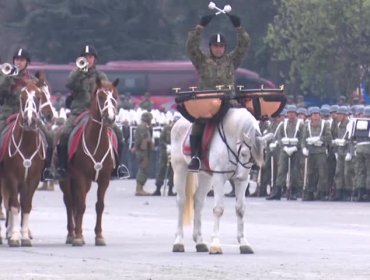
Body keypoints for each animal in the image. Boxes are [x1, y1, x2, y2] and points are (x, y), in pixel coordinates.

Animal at [60, 77, 119, 246]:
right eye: (101, 96)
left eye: (115, 96)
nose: (110, 118)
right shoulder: (80, 176)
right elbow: (80, 205)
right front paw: (78, 236)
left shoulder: (105, 178)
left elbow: (99, 206)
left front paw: (99, 236)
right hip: (66, 180)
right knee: (70, 202)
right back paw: (71, 234)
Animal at [171, 107, 268, 254]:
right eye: (244, 153)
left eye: (259, 155)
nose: (240, 176)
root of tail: (178, 122)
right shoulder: (219, 177)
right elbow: (218, 209)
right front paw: (216, 244)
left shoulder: (243, 182)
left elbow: (240, 209)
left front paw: (243, 243)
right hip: (179, 169)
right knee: (181, 202)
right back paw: (178, 241)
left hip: (205, 176)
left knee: (198, 201)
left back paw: (199, 241)